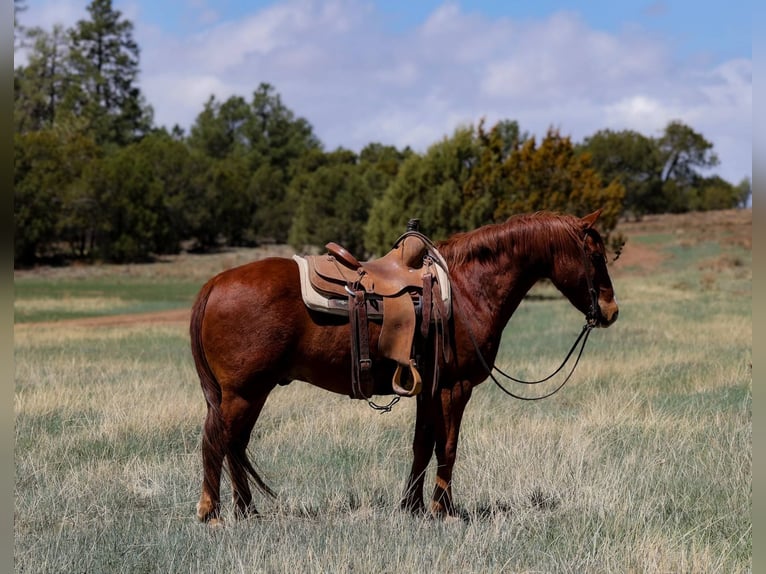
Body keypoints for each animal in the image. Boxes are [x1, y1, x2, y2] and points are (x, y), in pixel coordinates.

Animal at [190, 209, 619, 523]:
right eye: (596, 256)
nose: (611, 311)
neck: (467, 290)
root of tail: (213, 284)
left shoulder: (428, 388)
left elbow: (422, 445)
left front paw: (412, 507)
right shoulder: (455, 387)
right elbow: (448, 445)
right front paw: (443, 511)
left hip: (249, 393)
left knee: (235, 444)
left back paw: (247, 511)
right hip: (244, 393)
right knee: (217, 441)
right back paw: (213, 513)